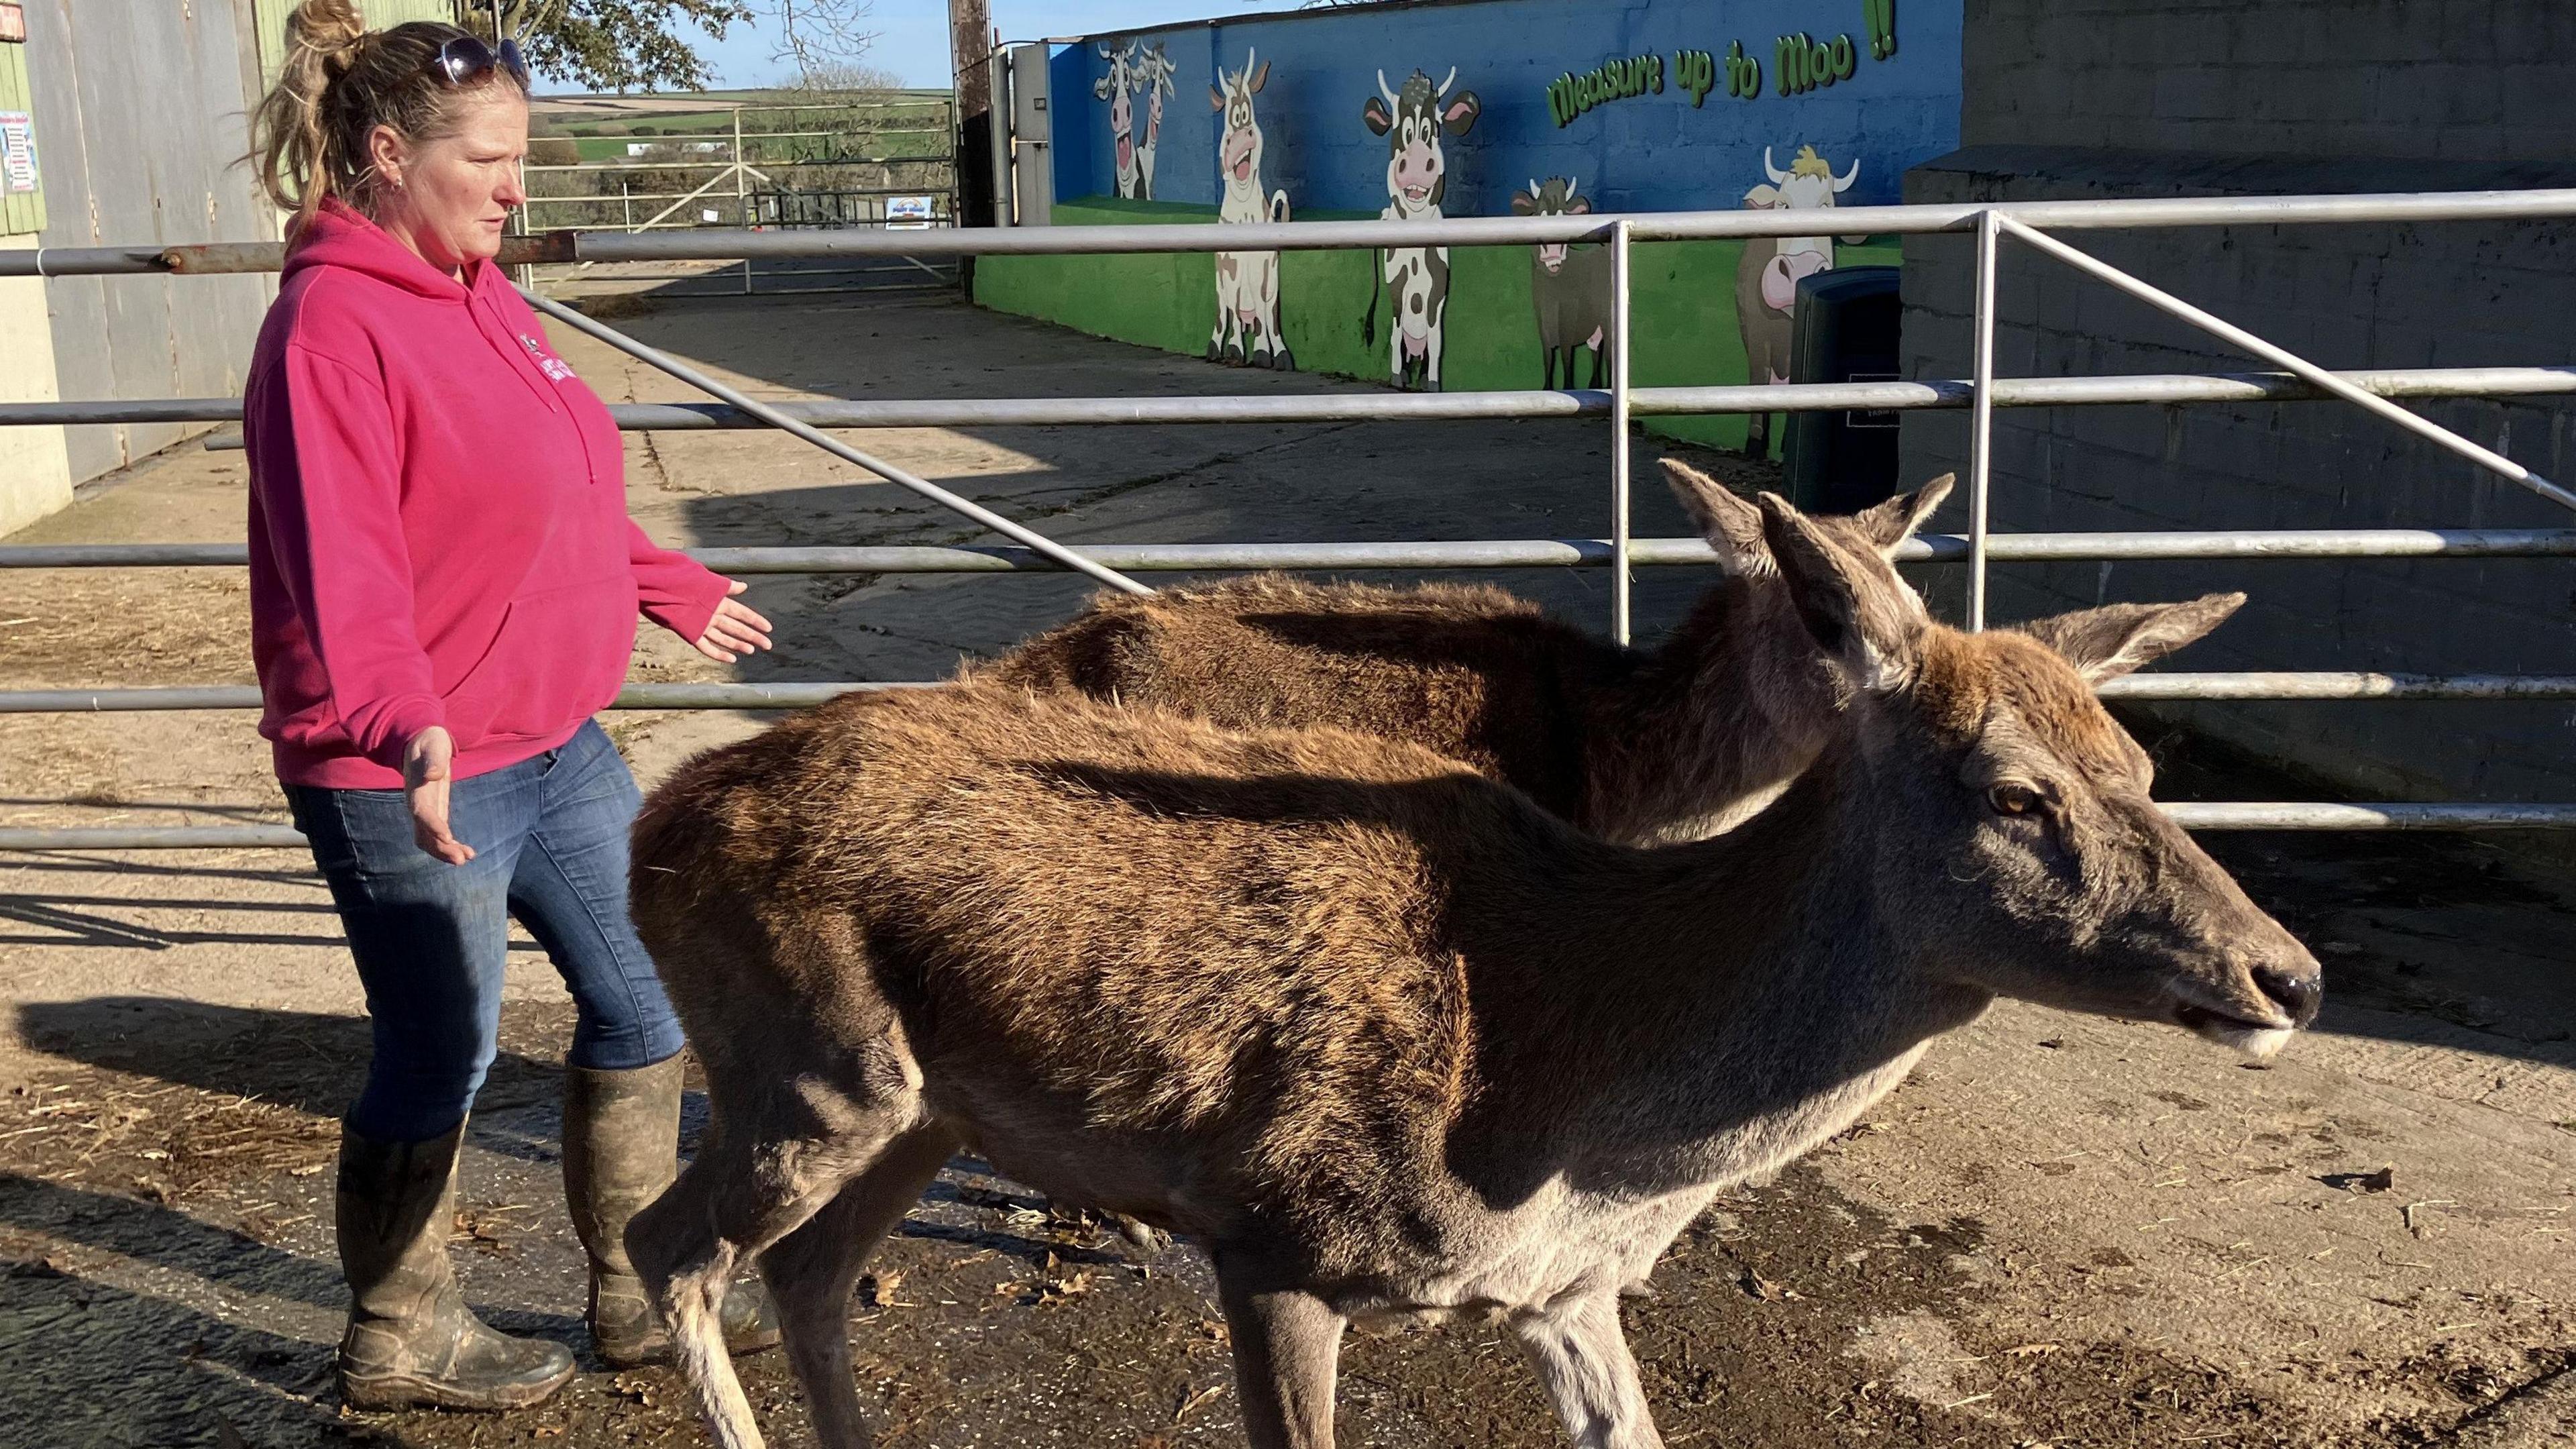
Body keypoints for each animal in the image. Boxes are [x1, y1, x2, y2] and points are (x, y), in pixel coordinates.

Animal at [618, 487, 2318, 1444]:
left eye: (2146, 764)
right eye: (2014, 792)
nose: (2288, 978)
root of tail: (660, 816)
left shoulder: (1564, 1295)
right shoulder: (1276, 1244)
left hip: (924, 1108)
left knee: (807, 1269)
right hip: (806, 1069)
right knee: (667, 1243)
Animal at [1200, 50, 1288, 366]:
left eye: (1247, 112)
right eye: (1231, 116)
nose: (1239, 138)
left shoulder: (1263, 266)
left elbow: (1263, 310)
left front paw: (1264, 352)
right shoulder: (1229, 265)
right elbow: (1232, 310)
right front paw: (1236, 349)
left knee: (1267, 314)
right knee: (1226, 312)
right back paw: (1218, 346)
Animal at [1360, 67, 1483, 389]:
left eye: (1432, 128)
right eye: (1401, 129)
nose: (1416, 161)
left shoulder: (1439, 286)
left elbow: (1436, 337)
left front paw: (1434, 385)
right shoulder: (1395, 284)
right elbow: (1395, 328)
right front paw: (1396, 377)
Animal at [1504, 174, 1607, 386]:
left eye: (1564, 217)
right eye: (1539, 214)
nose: (1552, 254)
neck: (1551, 289)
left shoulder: (1568, 317)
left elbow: (1566, 359)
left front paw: (1568, 388)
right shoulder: (1541, 318)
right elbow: (1548, 359)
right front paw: (1546, 388)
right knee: (1596, 355)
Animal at [1741, 140, 1865, 453]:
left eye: (1829, 207)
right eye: (1783, 204)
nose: (1801, 267)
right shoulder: (1758, 336)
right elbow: (1757, 380)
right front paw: (1755, 442)